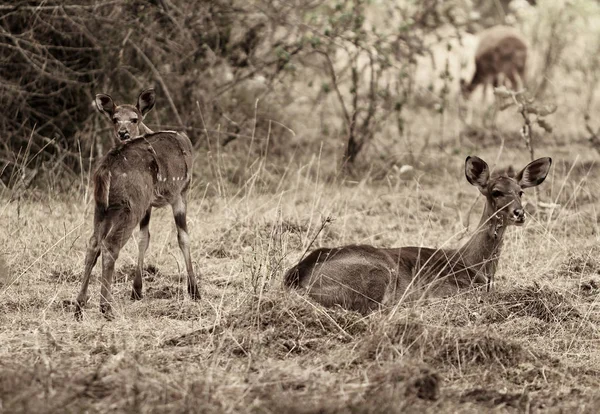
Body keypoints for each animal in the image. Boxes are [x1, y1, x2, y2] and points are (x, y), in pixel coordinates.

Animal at [75, 88, 199, 320]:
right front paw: (195, 291)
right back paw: (105, 307)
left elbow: (144, 238)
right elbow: (183, 237)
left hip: (102, 207)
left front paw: (137, 290)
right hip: (131, 205)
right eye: (114, 118)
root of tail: (105, 169)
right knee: (110, 245)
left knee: (93, 243)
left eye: (134, 118)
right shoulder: (180, 193)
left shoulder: (149, 204)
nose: (123, 133)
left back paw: (79, 306)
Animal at [284, 155, 552, 314]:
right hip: (379, 273)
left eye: (520, 191)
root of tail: (296, 277)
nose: (519, 213)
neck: (473, 263)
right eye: (495, 192)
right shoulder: (445, 288)